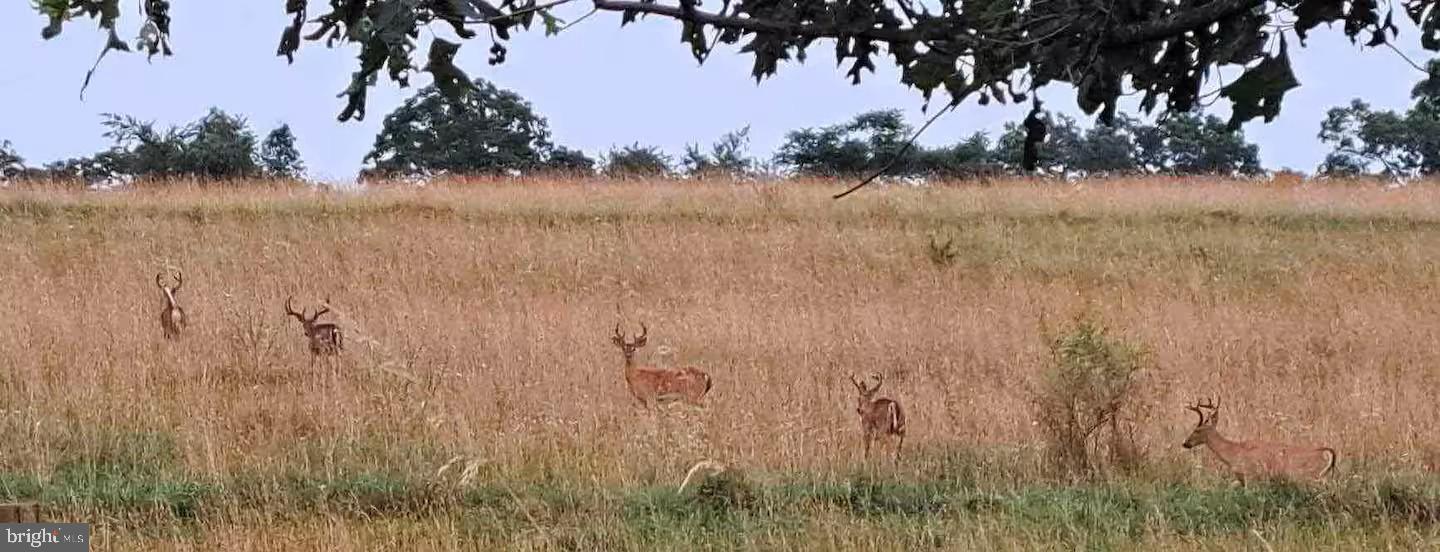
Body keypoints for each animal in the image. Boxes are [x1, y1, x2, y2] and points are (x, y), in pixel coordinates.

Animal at [1182, 398, 1338, 485]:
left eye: (1197, 430)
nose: (1185, 443)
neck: (1233, 452)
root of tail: (1326, 452)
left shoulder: (1251, 475)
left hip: (1306, 476)